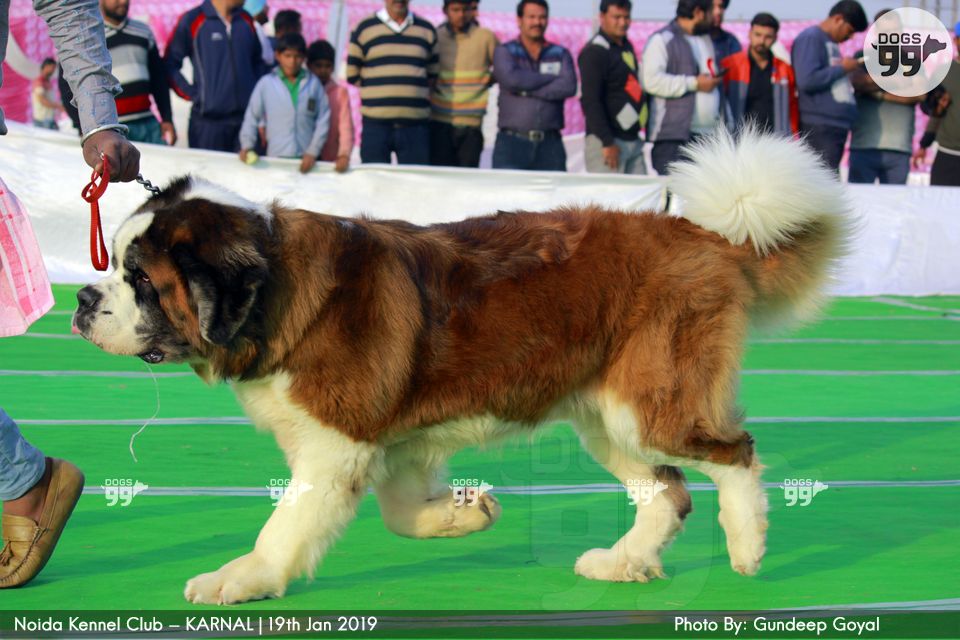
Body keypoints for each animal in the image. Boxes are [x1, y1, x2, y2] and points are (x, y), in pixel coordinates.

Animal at [74, 128, 850, 605]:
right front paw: (465, 514)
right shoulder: (389, 439)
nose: (82, 299)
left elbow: (287, 524)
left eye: (142, 282)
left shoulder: (336, 443)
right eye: (116, 268)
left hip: (649, 405)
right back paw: (622, 561)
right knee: (667, 491)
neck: (275, 293)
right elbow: (398, 512)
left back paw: (747, 545)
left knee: (734, 455)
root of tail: (703, 234)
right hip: (607, 416)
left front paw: (244, 578)